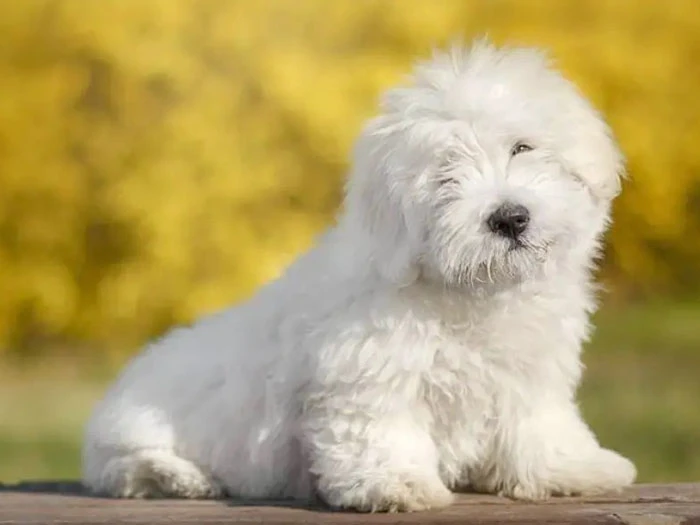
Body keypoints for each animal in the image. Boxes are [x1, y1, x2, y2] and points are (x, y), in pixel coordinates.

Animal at [80, 41, 636, 512]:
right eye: (446, 175)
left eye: (522, 148)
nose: (510, 218)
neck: (467, 292)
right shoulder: (370, 369)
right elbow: (381, 429)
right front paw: (397, 484)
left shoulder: (531, 373)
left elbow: (538, 424)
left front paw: (572, 469)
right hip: (137, 429)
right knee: (128, 468)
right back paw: (182, 477)